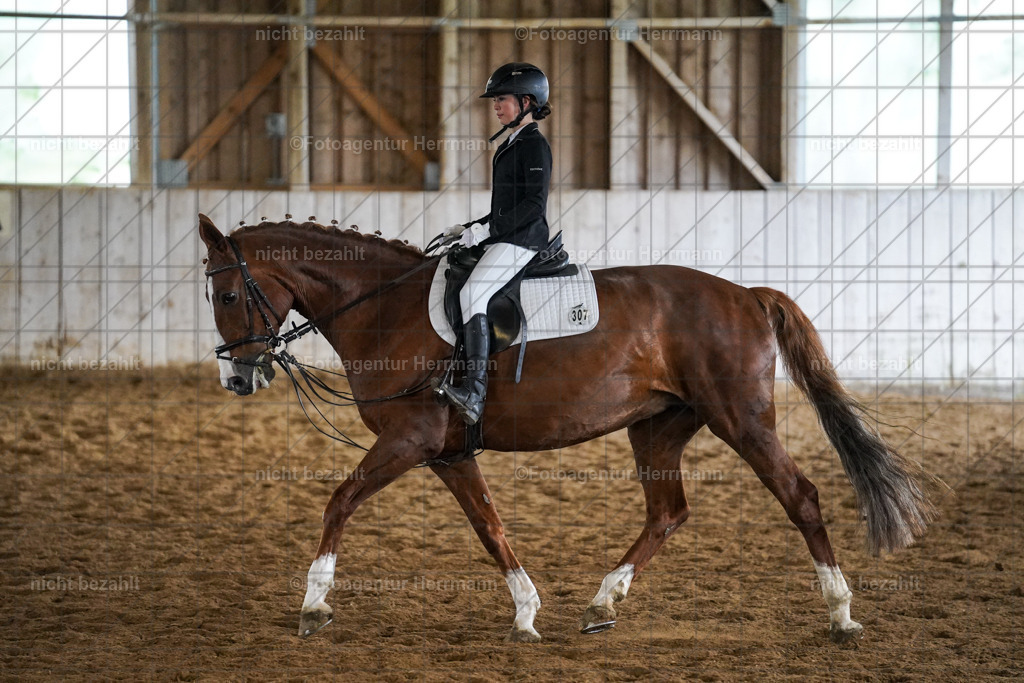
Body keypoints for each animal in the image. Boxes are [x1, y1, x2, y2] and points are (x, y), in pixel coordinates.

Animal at [198, 213, 937, 644]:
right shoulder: (445, 452)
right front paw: (526, 611)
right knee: (668, 512)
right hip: (658, 428)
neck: (385, 309)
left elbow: (340, 500)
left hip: (742, 419)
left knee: (800, 496)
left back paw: (840, 612)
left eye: (228, 294)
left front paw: (313, 605)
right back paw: (603, 602)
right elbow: (489, 525)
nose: (236, 379)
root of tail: (747, 295)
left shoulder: (408, 441)